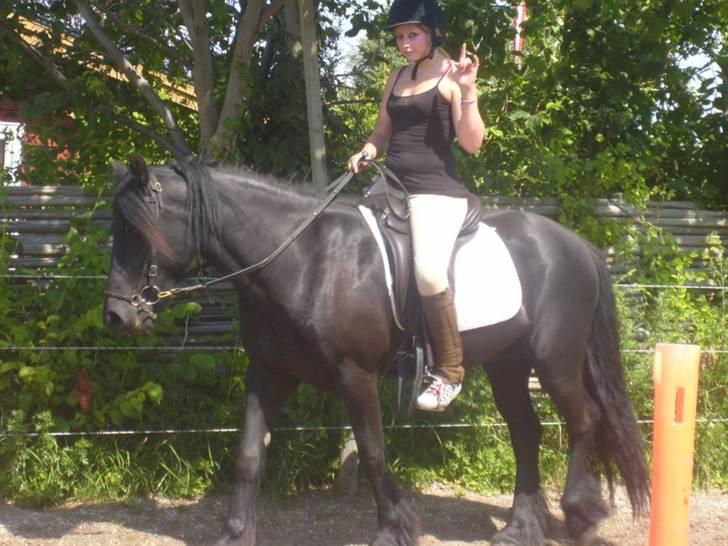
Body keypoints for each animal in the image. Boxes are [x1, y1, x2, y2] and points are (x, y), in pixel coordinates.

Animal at [103, 155, 649, 546]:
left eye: (138, 228)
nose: (117, 316)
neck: (304, 258)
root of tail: (576, 245)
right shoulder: (270, 373)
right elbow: (248, 456)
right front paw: (234, 535)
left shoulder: (356, 376)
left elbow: (372, 452)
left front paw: (395, 529)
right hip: (507, 364)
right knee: (526, 432)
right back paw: (520, 528)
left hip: (555, 360)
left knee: (584, 420)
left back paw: (580, 515)